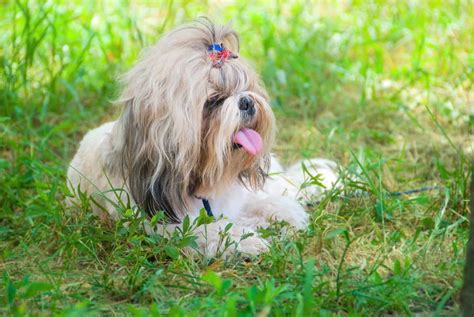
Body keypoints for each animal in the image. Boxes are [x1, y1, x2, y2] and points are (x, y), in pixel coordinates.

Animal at [67, 18, 340, 256]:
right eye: (214, 100)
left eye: (245, 87)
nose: (247, 101)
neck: (203, 183)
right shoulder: (164, 226)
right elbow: (211, 230)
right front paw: (247, 241)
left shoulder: (241, 197)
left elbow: (266, 203)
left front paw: (283, 214)